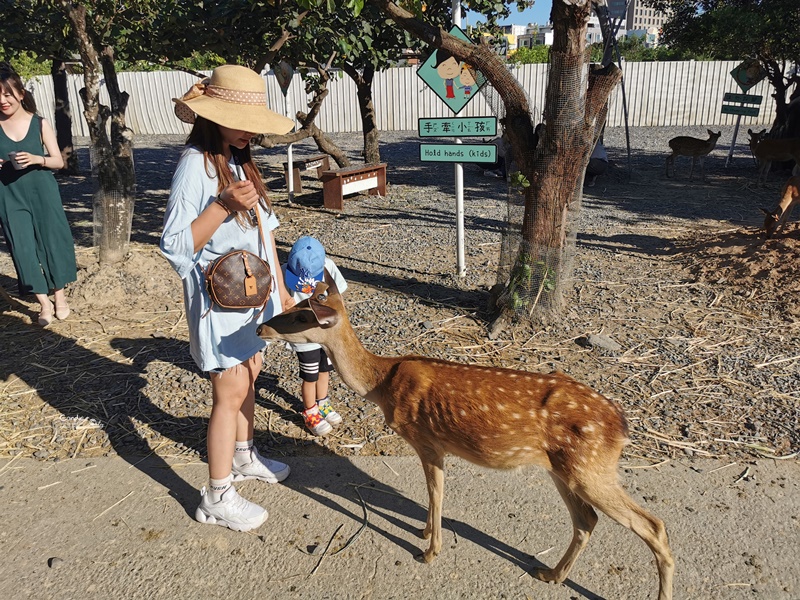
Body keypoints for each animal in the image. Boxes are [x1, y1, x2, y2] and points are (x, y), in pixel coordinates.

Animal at [258, 282, 676, 600]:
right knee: (587, 520)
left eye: (300, 315)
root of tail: (621, 425)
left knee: (652, 525)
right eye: (295, 306)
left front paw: (429, 551)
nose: (262, 328)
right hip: (565, 468)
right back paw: (551, 575)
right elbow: (432, 494)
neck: (382, 384)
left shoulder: (426, 440)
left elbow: (435, 492)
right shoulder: (435, 446)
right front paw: (425, 533)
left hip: (590, 467)